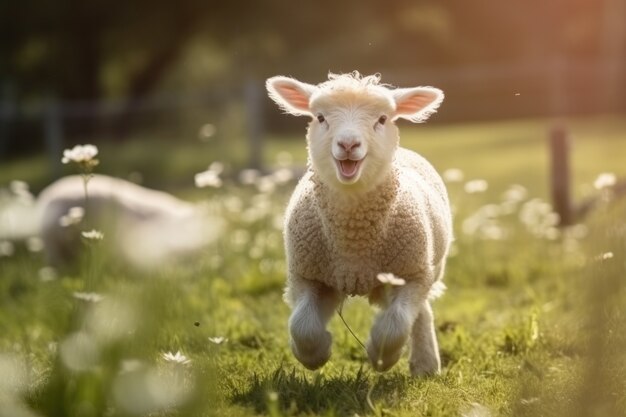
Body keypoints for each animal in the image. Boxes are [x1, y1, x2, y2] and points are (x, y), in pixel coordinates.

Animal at [266, 72, 450, 376]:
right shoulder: (306, 275)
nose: (348, 145)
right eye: (320, 117)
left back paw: (425, 364)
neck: (354, 242)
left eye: (383, 119)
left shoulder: (412, 273)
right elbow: (302, 326)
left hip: (426, 268)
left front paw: (381, 355)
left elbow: (395, 324)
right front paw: (314, 355)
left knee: (420, 311)